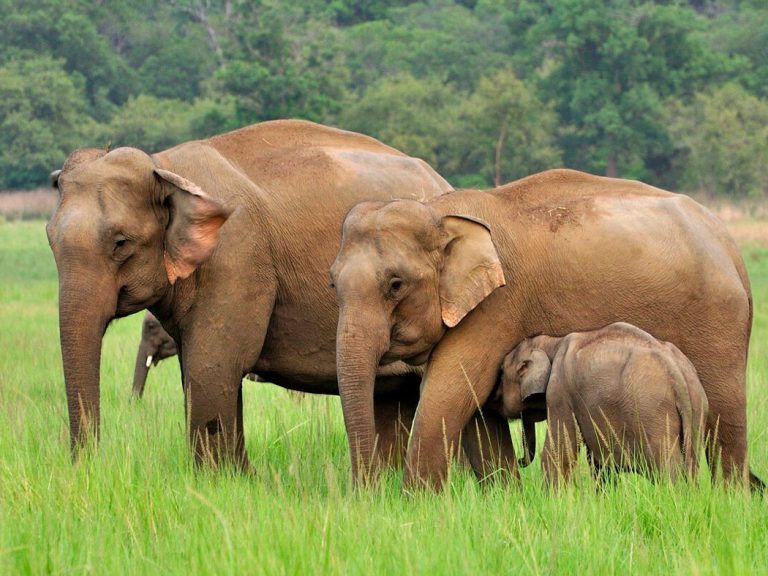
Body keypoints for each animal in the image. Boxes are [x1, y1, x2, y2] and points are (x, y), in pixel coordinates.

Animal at [46, 119, 456, 470]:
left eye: (121, 243)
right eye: (50, 239)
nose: (88, 467)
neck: (164, 166)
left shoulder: (236, 256)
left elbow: (212, 366)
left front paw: (223, 479)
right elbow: (199, 368)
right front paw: (240, 477)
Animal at [492, 322, 708, 484]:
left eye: (501, 372)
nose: (519, 460)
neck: (551, 342)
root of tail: (675, 371)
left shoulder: (560, 391)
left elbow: (559, 453)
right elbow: (600, 462)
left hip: (653, 412)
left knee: (666, 467)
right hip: (696, 409)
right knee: (692, 465)